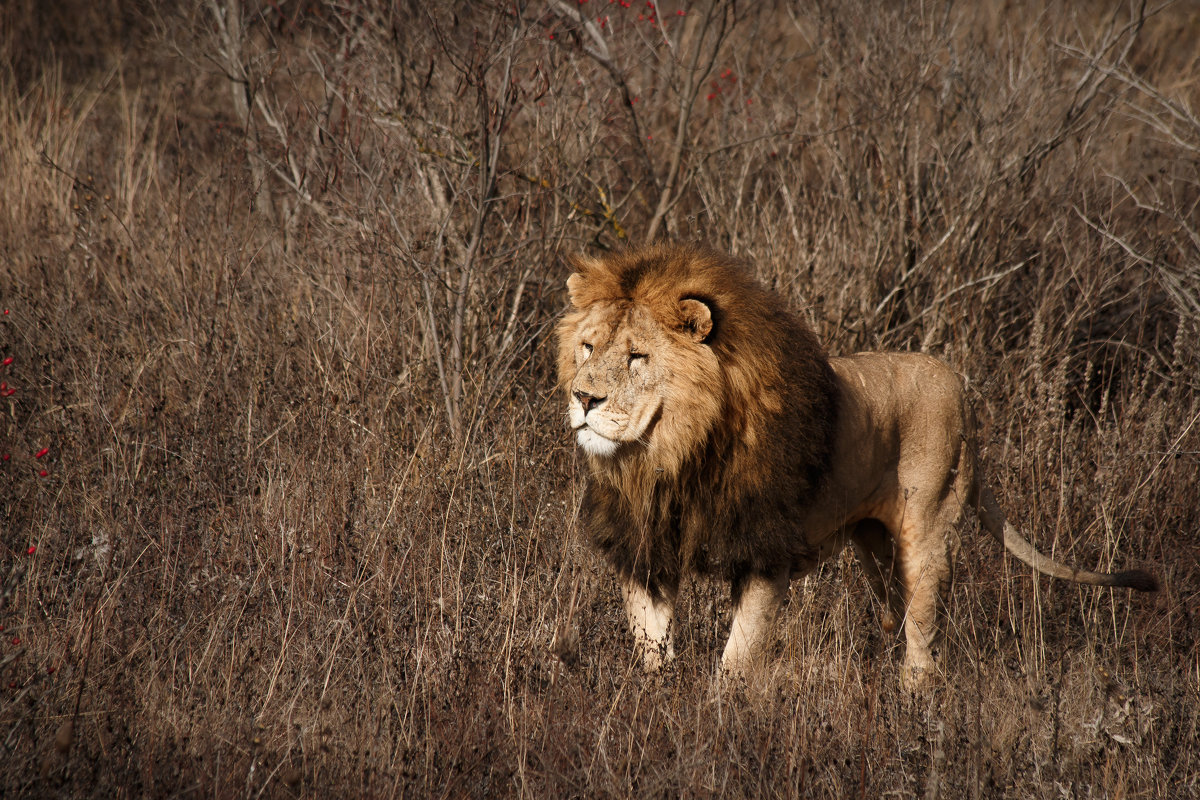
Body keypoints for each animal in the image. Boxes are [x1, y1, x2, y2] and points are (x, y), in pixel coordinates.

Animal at [556, 242, 1156, 690]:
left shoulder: (766, 551)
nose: (583, 398)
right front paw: (655, 698)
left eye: (637, 356)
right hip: (875, 546)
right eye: (587, 347)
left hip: (928, 531)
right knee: (901, 612)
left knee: (923, 629)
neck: (672, 455)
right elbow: (651, 645)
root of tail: (961, 388)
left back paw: (915, 699)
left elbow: (737, 655)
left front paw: (720, 713)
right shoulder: (644, 550)